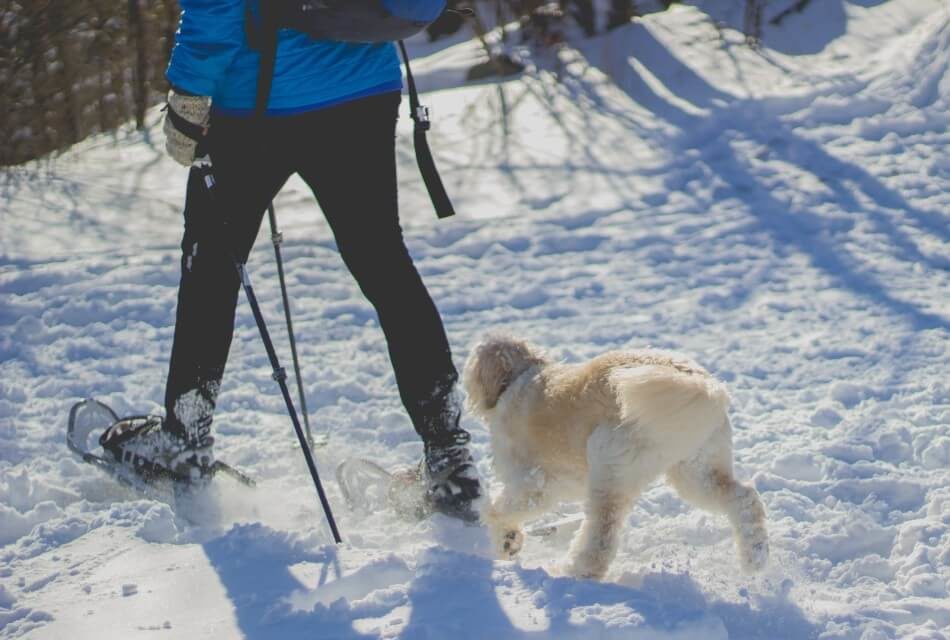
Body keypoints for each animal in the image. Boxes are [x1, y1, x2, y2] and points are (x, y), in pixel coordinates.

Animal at [464, 336, 768, 580]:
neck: (519, 377)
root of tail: (701, 384)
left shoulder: (535, 483)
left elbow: (499, 511)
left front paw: (505, 539)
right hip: (697, 470)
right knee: (744, 499)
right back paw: (755, 559)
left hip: (609, 466)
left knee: (602, 536)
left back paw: (575, 572)